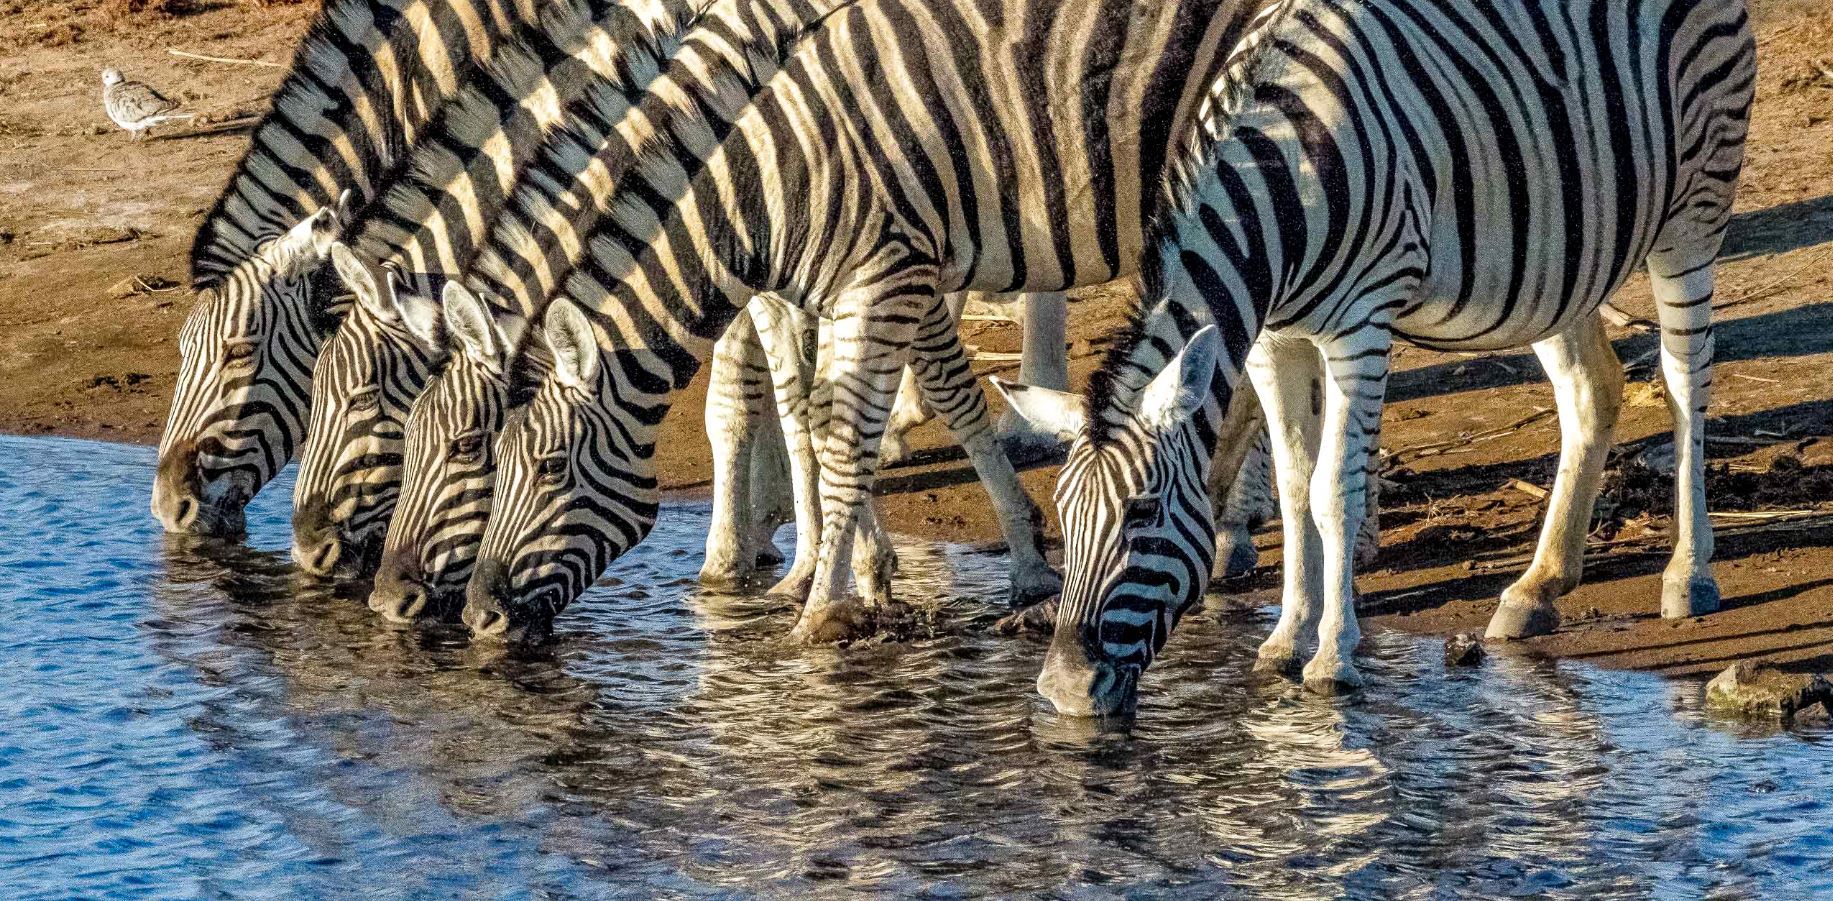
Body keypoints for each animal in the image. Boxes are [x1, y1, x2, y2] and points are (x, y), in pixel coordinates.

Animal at [456, 0, 1272, 644]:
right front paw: (880, 573)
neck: (771, 182)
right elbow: (863, 406)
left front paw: (821, 606)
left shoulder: (891, 274)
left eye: (548, 467)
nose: (476, 616)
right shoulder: (884, 277)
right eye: (488, 458)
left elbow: (856, 427)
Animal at [997, 0, 1755, 715]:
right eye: (1062, 515)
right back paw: (1537, 589)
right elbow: (1294, 486)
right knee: (1591, 389)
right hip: (1555, 260)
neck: (1279, 194)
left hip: (1695, 208)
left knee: (1686, 382)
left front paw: (1332, 660)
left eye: (1143, 514)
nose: (1063, 691)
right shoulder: (1273, 339)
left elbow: (1333, 489)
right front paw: (1285, 639)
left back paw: (1689, 575)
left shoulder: (1360, 325)